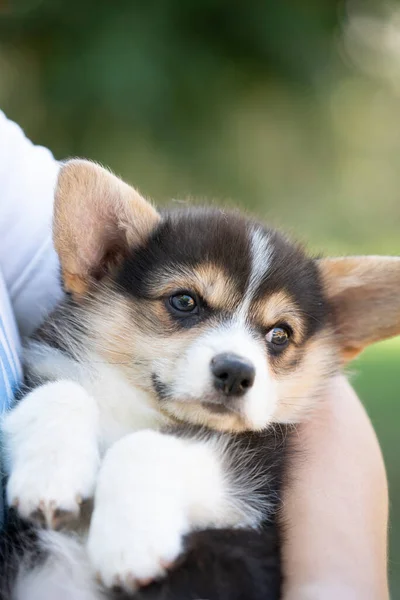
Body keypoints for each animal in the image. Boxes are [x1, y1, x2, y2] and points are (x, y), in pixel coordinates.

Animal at [1, 159, 398, 600]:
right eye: (185, 300)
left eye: (280, 334)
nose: (236, 373)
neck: (142, 405)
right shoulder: (50, 368)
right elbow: (61, 391)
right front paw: (49, 479)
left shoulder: (248, 472)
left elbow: (148, 444)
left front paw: (128, 544)